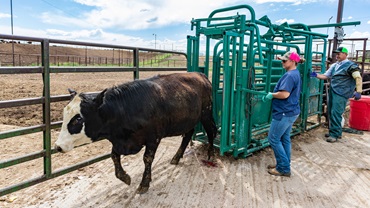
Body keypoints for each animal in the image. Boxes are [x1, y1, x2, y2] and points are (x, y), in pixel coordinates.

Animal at [55, 72, 217, 194]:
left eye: (78, 119)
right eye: (64, 115)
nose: (58, 146)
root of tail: (200, 75)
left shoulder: (153, 138)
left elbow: (147, 159)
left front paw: (144, 183)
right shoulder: (120, 141)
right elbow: (114, 156)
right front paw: (124, 177)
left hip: (206, 113)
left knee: (211, 132)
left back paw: (211, 154)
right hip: (189, 119)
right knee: (188, 134)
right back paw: (177, 157)